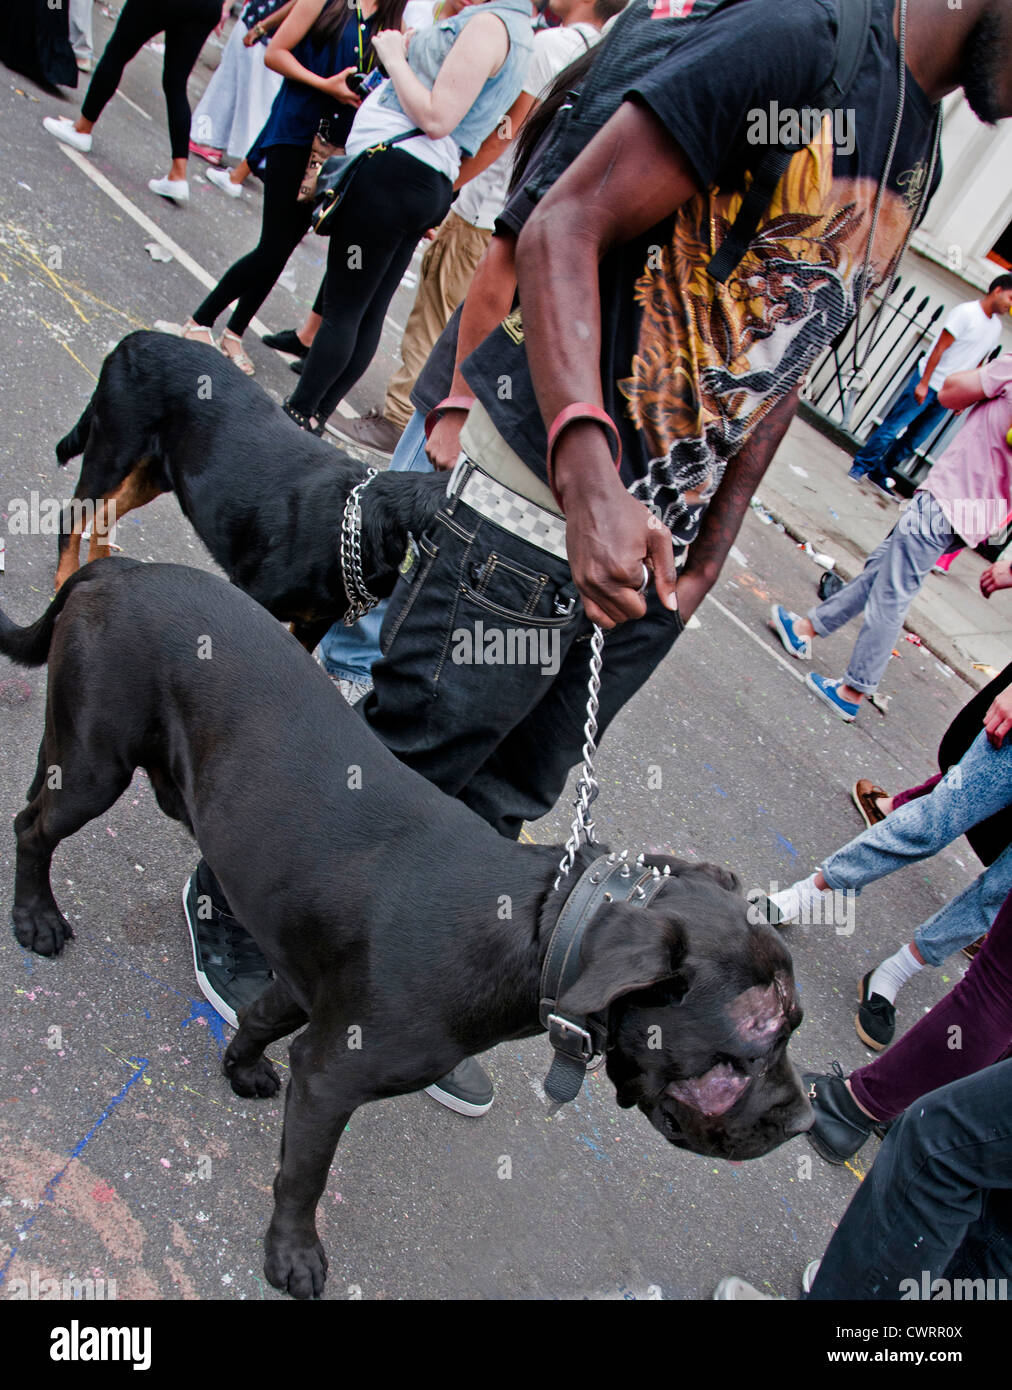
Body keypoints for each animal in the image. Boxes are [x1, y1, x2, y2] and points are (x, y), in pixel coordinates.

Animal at [0, 558, 806, 1295]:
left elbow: (261, 1018)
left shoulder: (304, 990)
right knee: (32, 829)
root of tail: (122, 567)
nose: (803, 1124)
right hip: (92, 766)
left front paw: (241, 1065)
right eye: (753, 1048)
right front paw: (292, 1253)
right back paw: (35, 916)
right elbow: (305, 1176)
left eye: (794, 1028)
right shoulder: (331, 1080)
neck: (547, 926)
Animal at [51, 329, 444, 644]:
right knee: (72, 518)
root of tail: (134, 339)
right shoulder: (253, 596)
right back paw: (66, 578)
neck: (357, 525)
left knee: (104, 517)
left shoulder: (311, 626)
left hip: (151, 475)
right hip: (112, 452)